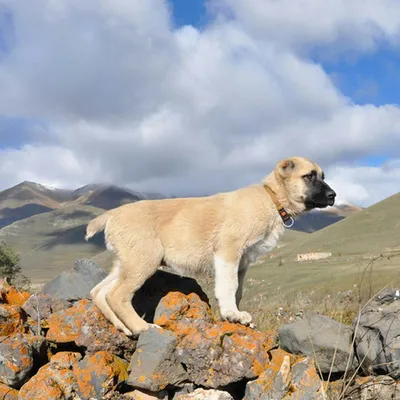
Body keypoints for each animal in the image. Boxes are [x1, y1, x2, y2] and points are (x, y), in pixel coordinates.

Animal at [86, 156, 336, 334]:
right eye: (309, 176)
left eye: (322, 175)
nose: (333, 195)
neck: (271, 198)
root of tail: (112, 214)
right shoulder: (228, 251)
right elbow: (228, 286)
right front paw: (232, 314)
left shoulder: (242, 263)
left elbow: (238, 290)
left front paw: (234, 315)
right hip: (144, 260)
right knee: (116, 295)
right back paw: (141, 328)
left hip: (126, 262)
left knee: (99, 292)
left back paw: (123, 328)